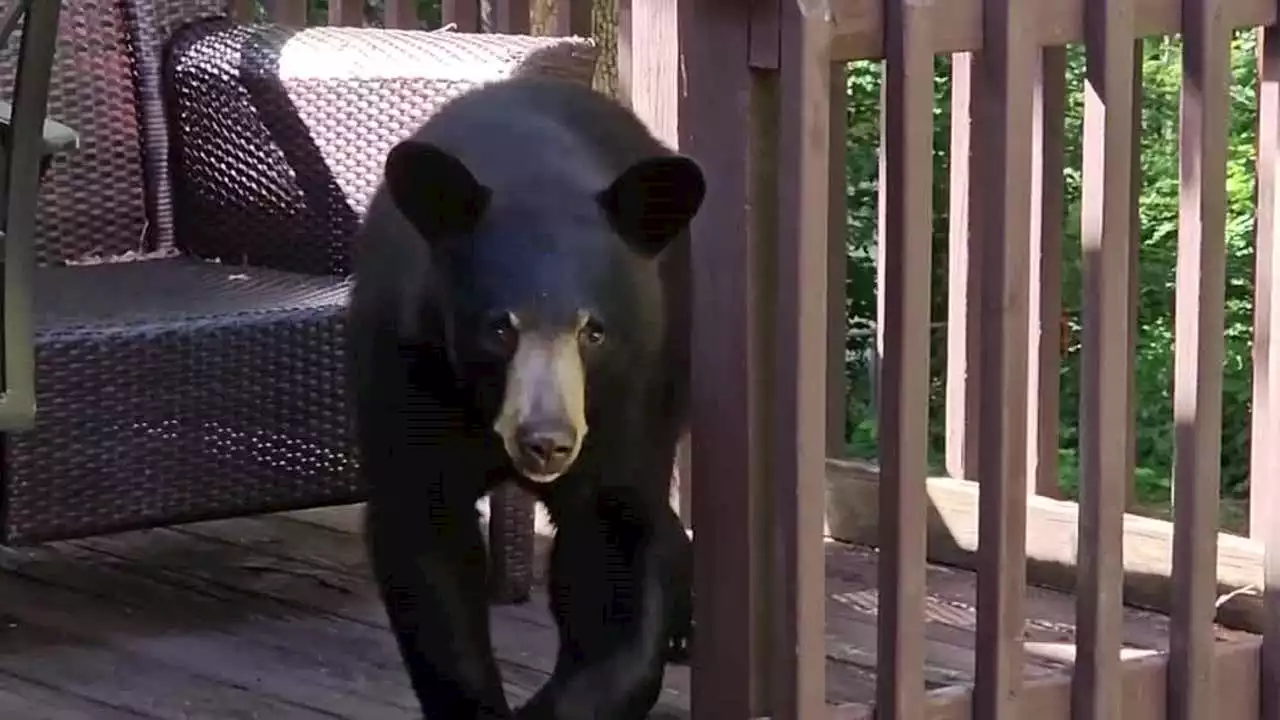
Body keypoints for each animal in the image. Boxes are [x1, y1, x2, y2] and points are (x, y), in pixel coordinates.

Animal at [350, 74, 706, 717]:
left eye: (594, 331)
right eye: (499, 328)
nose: (546, 442)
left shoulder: (628, 390)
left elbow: (611, 548)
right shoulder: (407, 366)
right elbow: (425, 538)